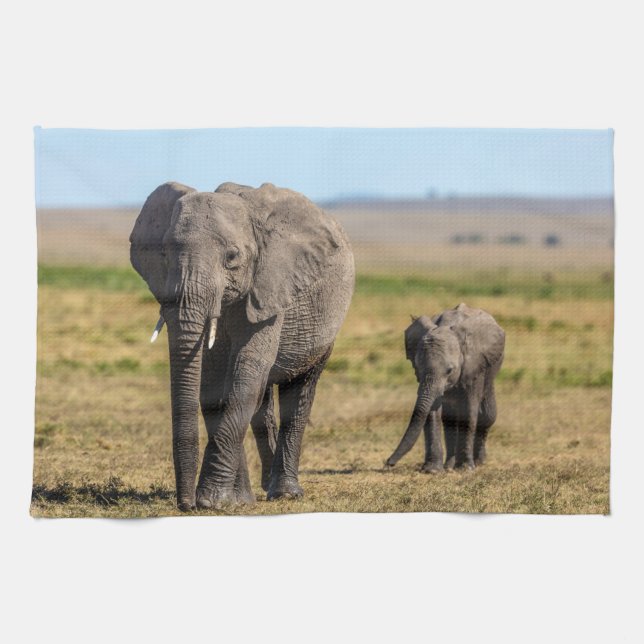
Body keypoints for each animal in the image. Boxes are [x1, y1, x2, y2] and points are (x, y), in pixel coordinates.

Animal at [130, 181, 355, 511]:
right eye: (163, 253)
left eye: (231, 257)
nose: (185, 505)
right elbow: (214, 384)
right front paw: (236, 501)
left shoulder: (270, 289)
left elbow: (247, 372)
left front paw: (212, 501)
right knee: (262, 402)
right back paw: (263, 487)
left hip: (326, 325)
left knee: (299, 393)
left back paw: (285, 492)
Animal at [386, 303, 505, 472]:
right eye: (417, 368)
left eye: (449, 370)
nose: (388, 463)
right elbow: (433, 410)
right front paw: (432, 470)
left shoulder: (473, 365)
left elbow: (469, 409)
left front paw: (465, 469)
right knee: (450, 419)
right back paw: (449, 466)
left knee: (488, 414)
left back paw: (479, 462)